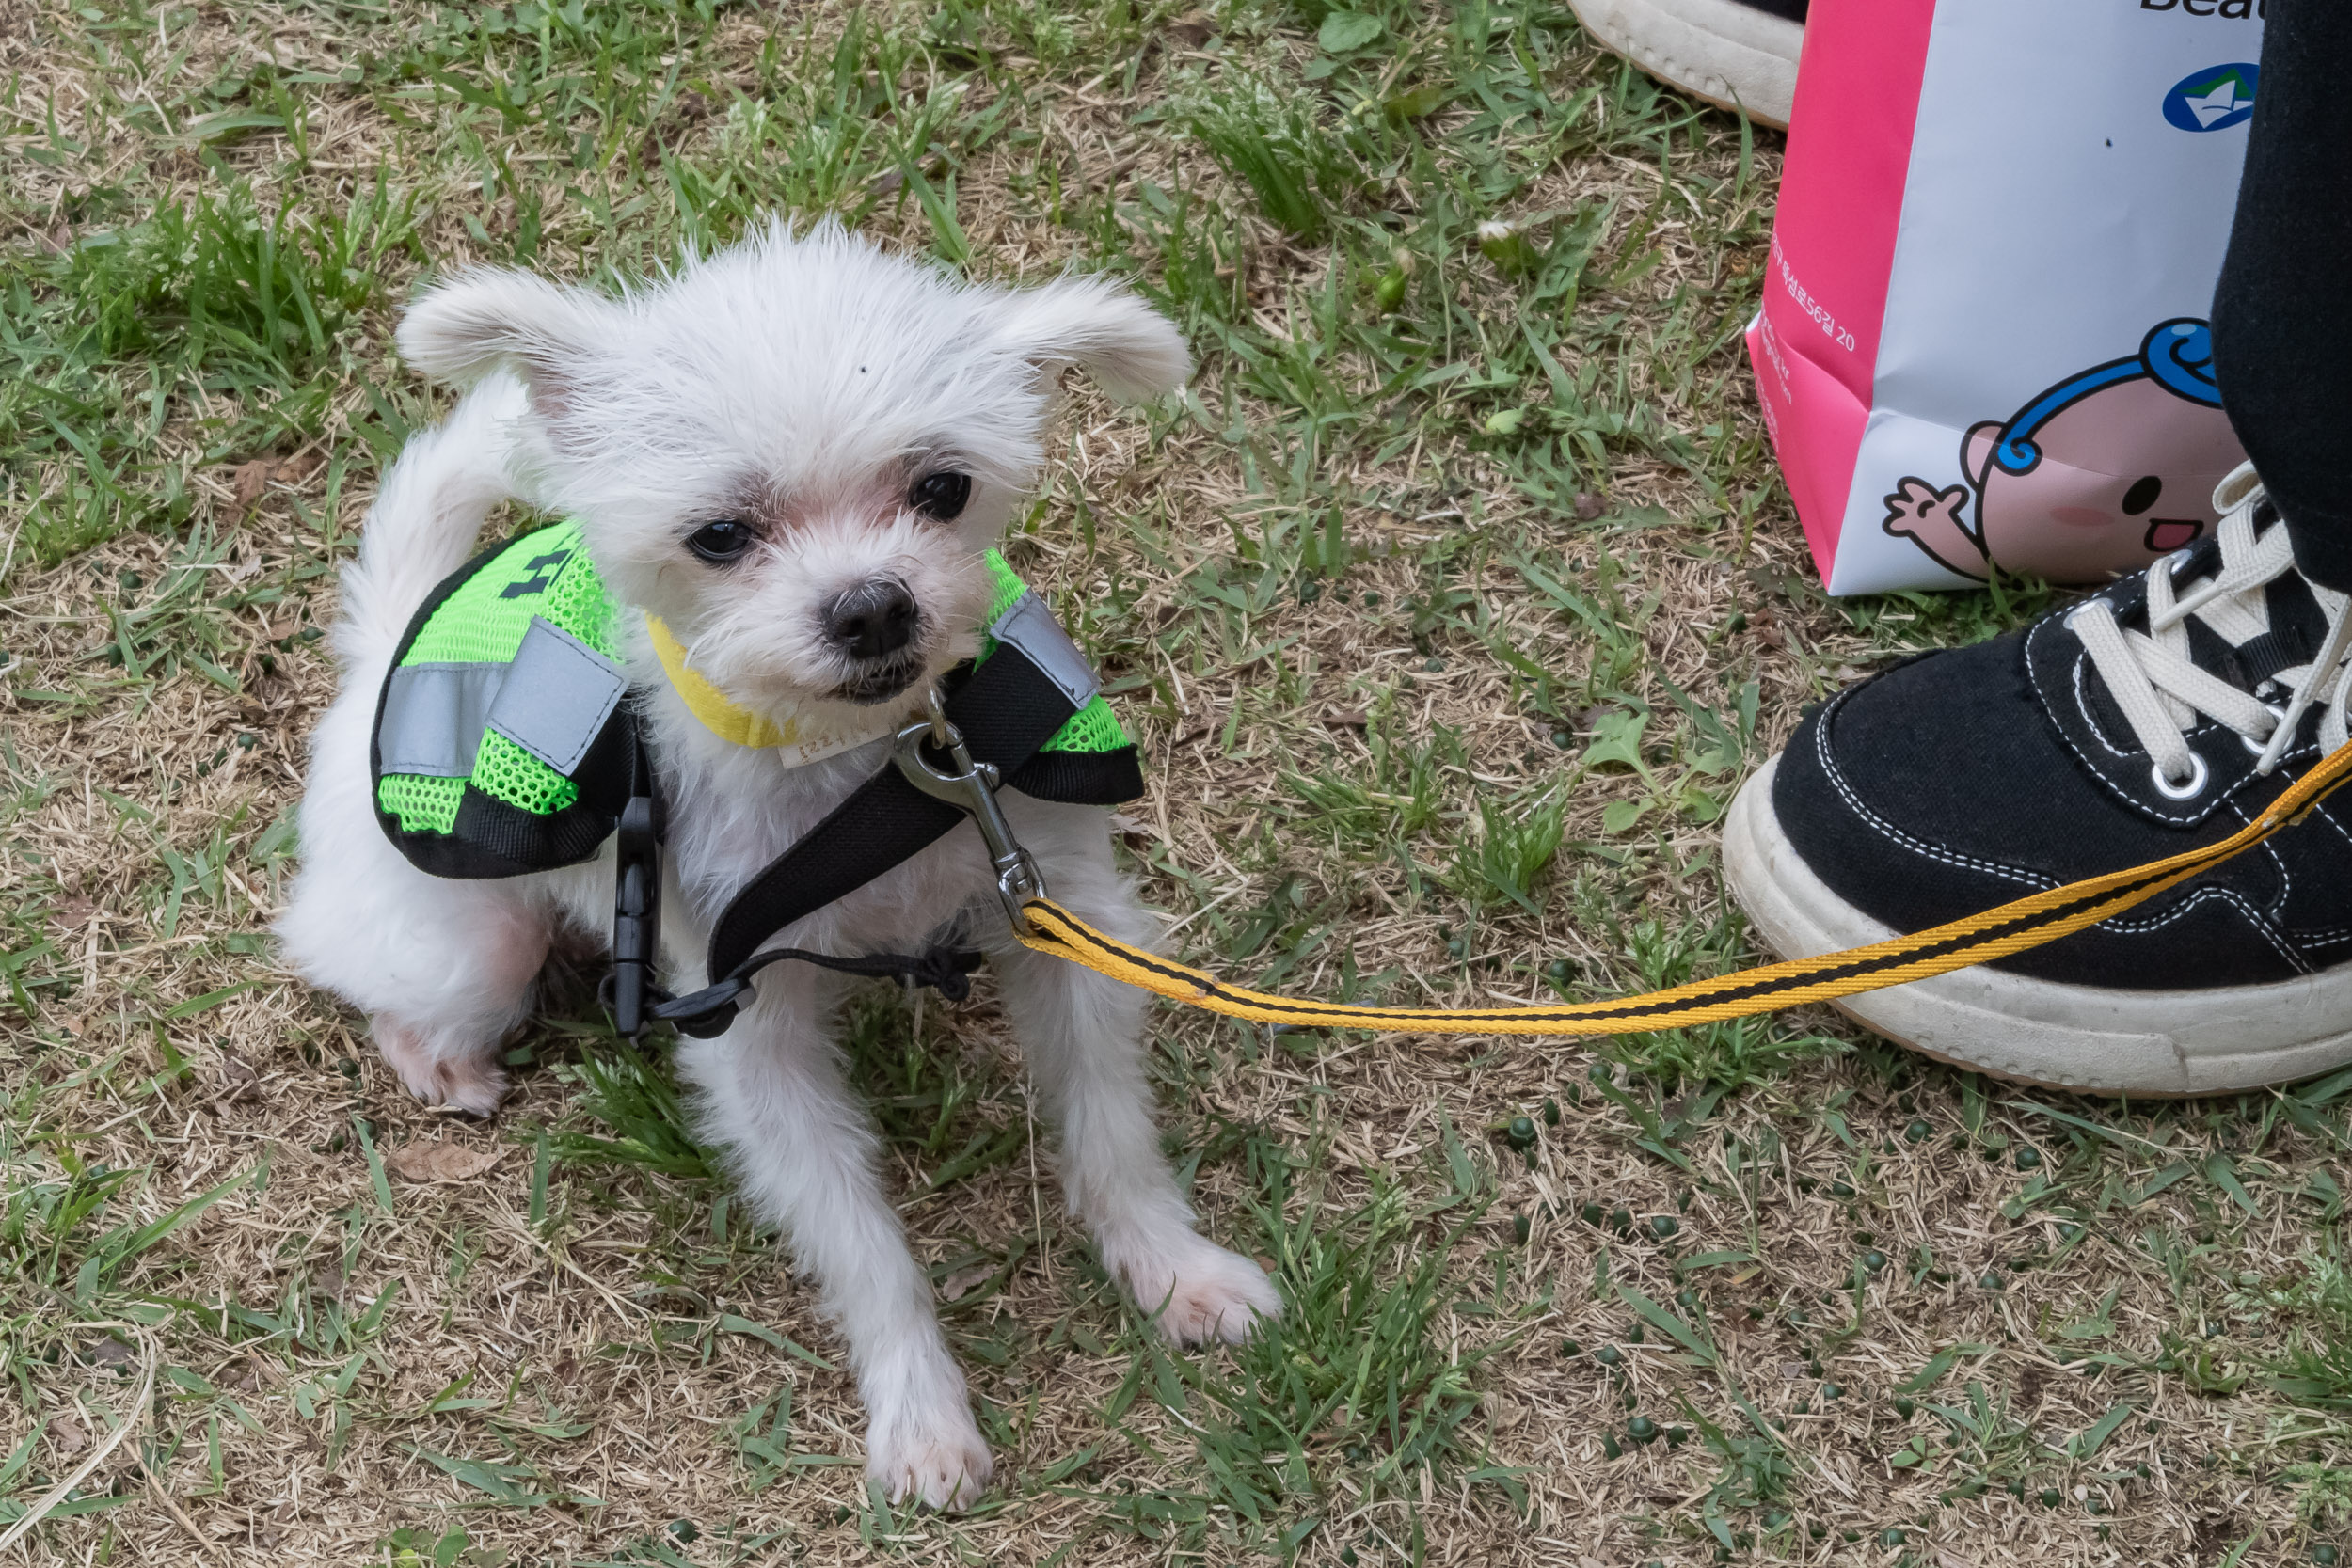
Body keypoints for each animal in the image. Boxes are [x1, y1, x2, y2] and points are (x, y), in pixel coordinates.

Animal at [279, 223, 1289, 1504]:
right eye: (719, 534)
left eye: (942, 488)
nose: (872, 606)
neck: (861, 766)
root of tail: (386, 638)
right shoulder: (747, 1031)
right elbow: (860, 1240)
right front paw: (920, 1411)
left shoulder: (1063, 916)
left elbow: (1110, 1130)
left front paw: (1170, 1267)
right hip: (473, 943)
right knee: (386, 981)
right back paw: (440, 1061)